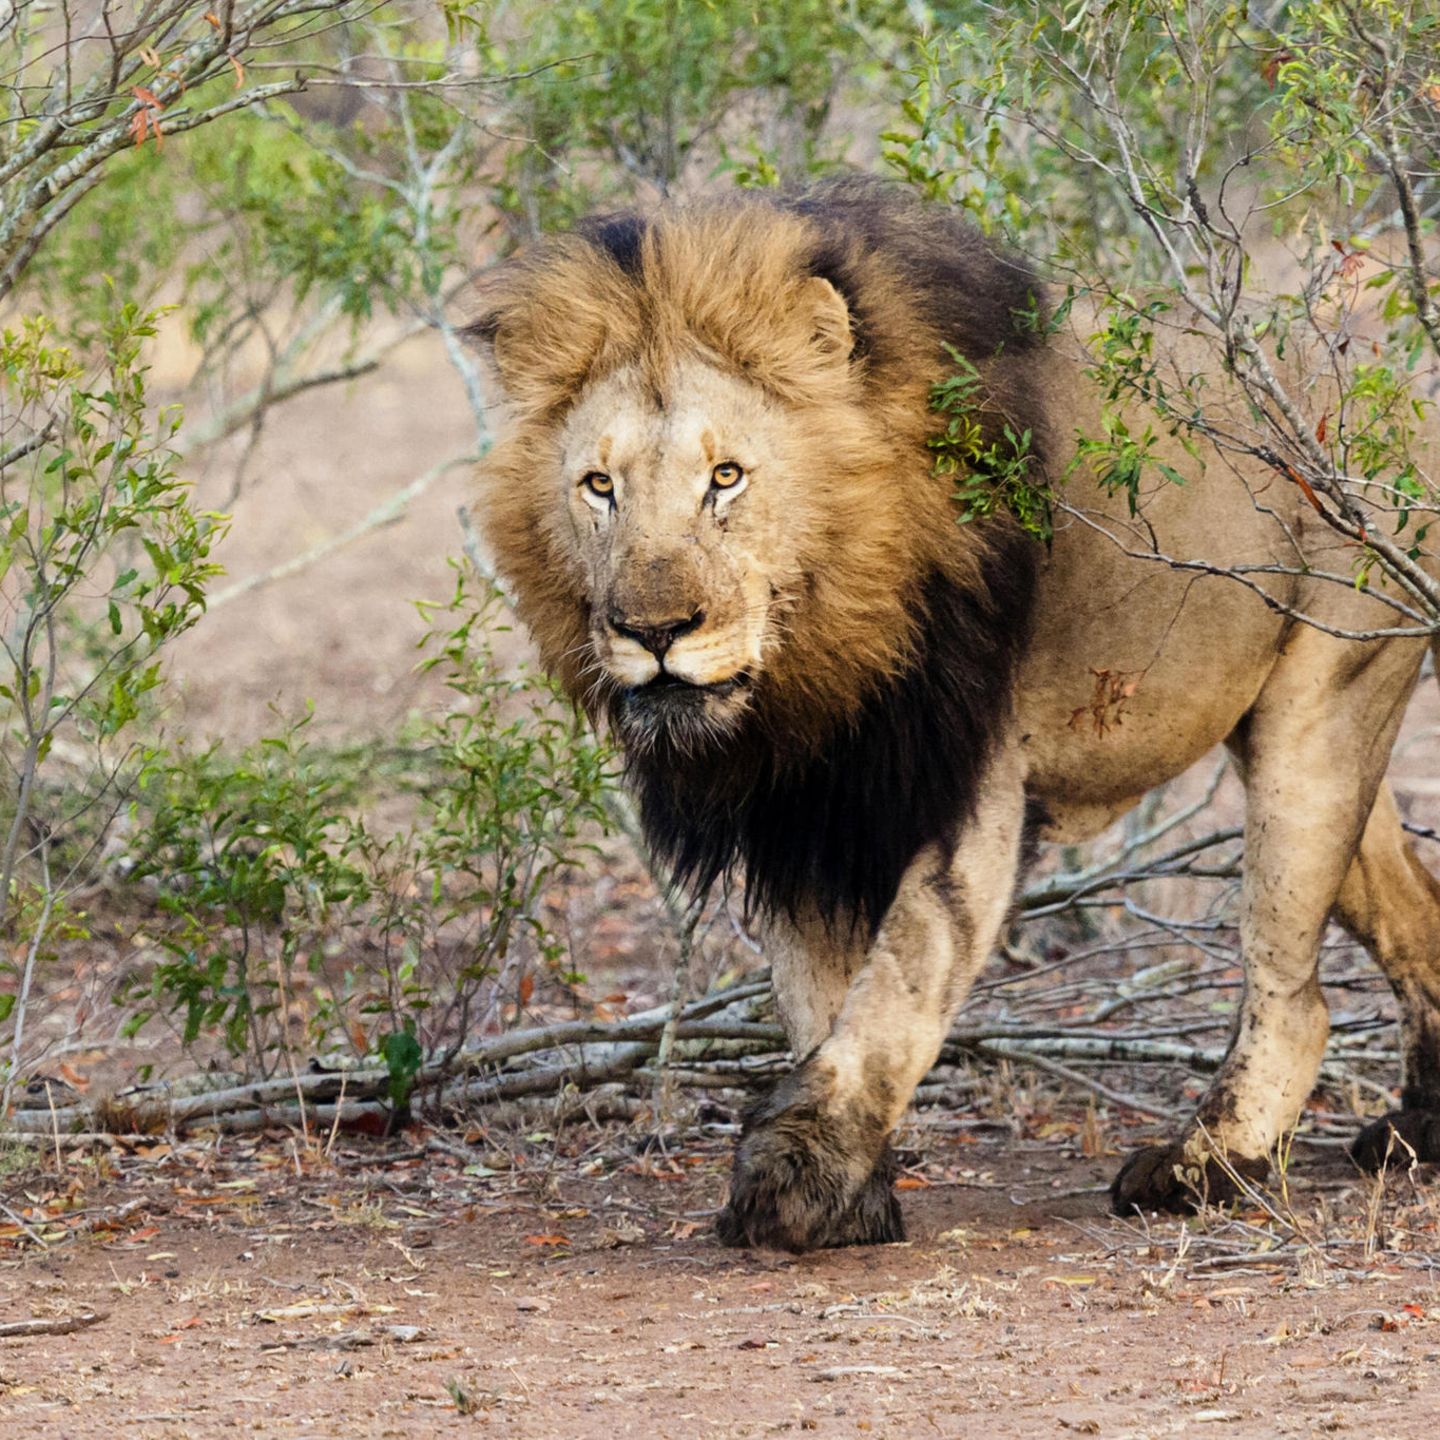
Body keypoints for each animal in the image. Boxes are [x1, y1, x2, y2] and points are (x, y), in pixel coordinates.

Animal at [469, 180, 1440, 1255]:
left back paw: (1202, 1164)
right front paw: (855, 1196)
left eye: (726, 477)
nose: (654, 631)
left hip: (1320, 710)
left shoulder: (970, 777)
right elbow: (817, 998)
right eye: (599, 487)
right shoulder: (802, 804)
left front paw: (794, 1179)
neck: (816, 660)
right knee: (1413, 908)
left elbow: (896, 987)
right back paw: (1422, 1125)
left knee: (1292, 991)